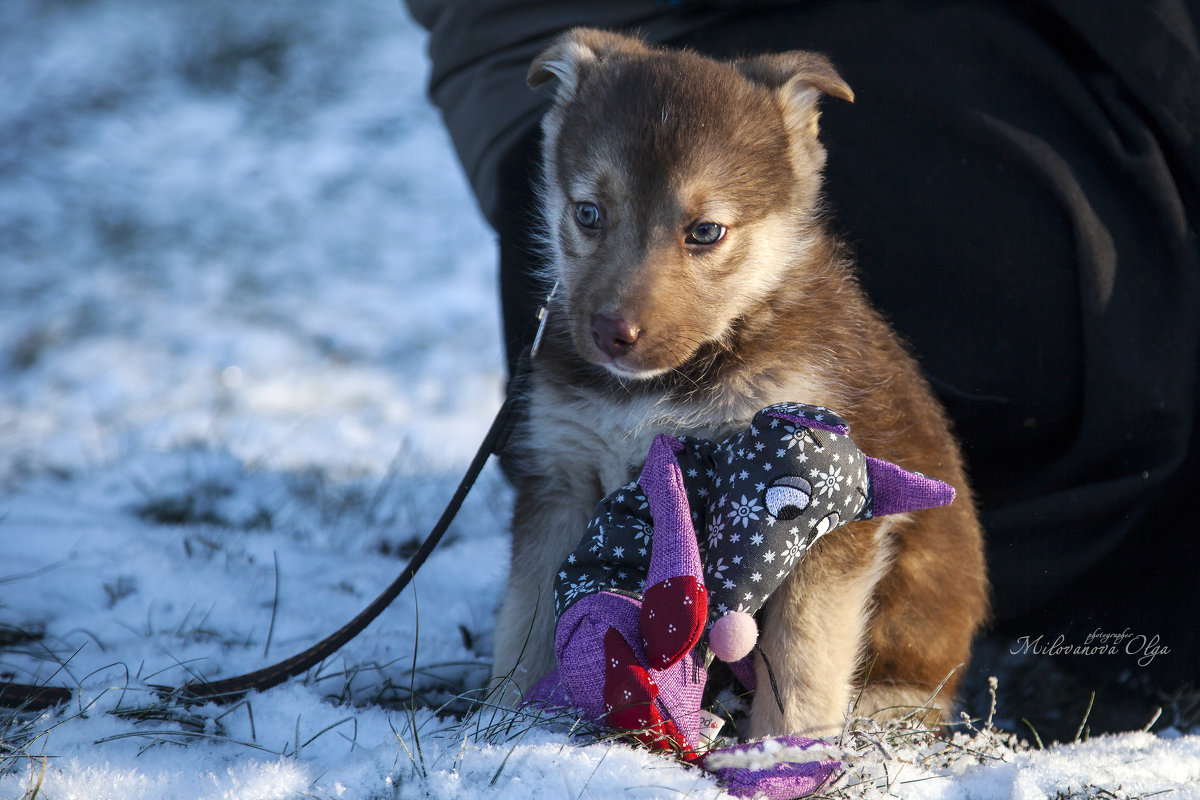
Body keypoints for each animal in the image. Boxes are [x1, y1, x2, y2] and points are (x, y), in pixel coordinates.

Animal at [492, 28, 988, 743]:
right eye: (588, 213)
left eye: (706, 231)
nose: (613, 333)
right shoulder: (559, 479)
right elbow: (525, 622)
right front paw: (502, 721)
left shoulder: (831, 526)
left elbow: (802, 659)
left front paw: (781, 749)